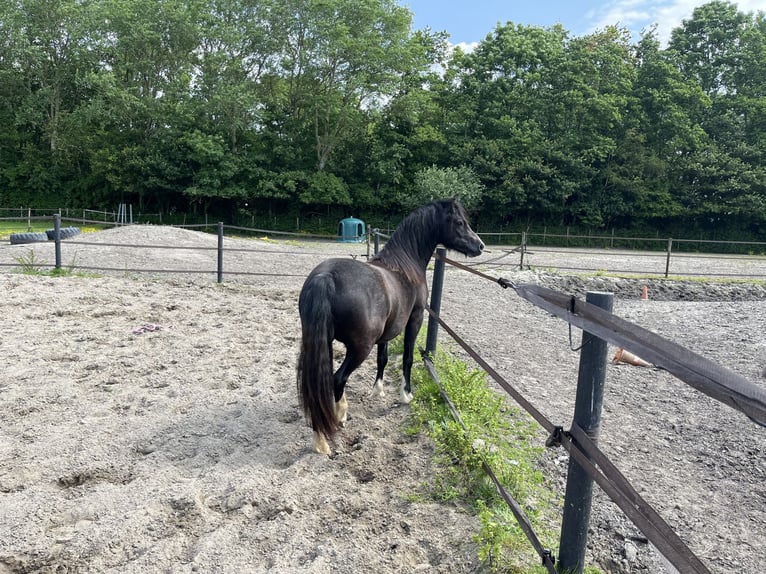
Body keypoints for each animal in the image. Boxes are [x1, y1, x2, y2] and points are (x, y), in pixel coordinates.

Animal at [296, 200, 484, 456]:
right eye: (459, 222)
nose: (480, 245)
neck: (405, 266)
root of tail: (326, 277)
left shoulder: (387, 331)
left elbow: (382, 359)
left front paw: (378, 390)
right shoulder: (415, 319)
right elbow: (407, 358)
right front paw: (406, 394)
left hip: (321, 342)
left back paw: (324, 432)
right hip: (359, 348)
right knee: (337, 379)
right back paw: (333, 426)